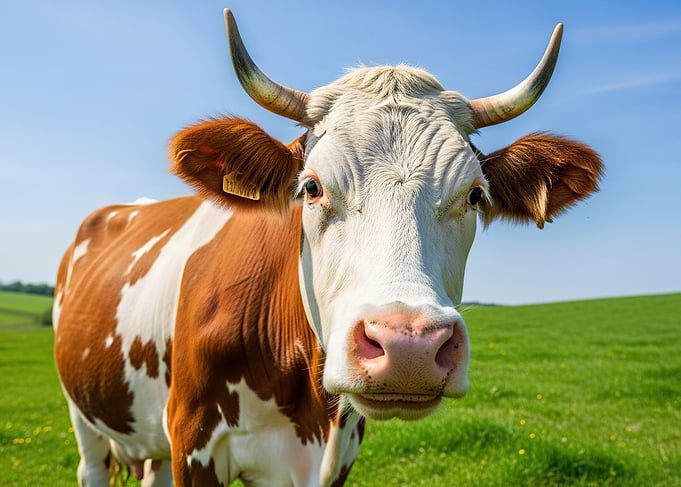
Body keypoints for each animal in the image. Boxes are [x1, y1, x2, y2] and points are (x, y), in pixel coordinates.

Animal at [53, 9, 603, 487]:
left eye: (474, 195)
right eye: (311, 186)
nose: (409, 346)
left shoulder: (336, 456)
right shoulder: (193, 441)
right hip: (84, 415)